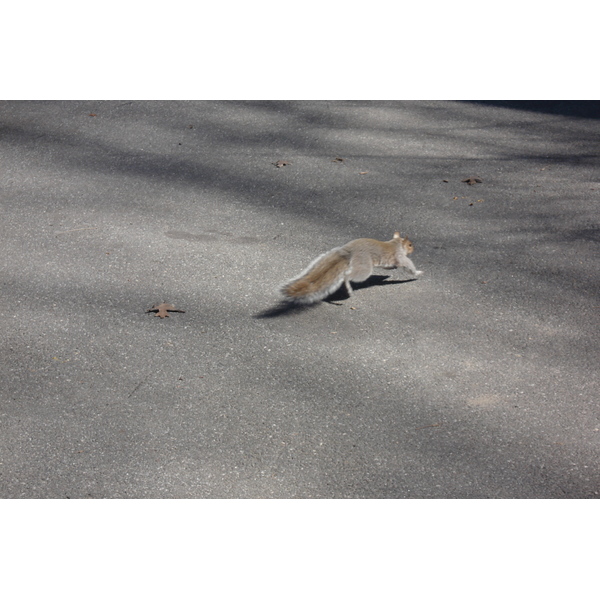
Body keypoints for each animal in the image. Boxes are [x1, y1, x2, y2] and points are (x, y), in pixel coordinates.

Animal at [280, 231, 422, 304]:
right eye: (410, 244)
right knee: (348, 276)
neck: (396, 243)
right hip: (364, 267)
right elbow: (409, 265)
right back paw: (348, 287)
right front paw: (418, 273)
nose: (414, 249)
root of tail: (348, 251)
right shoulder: (400, 256)